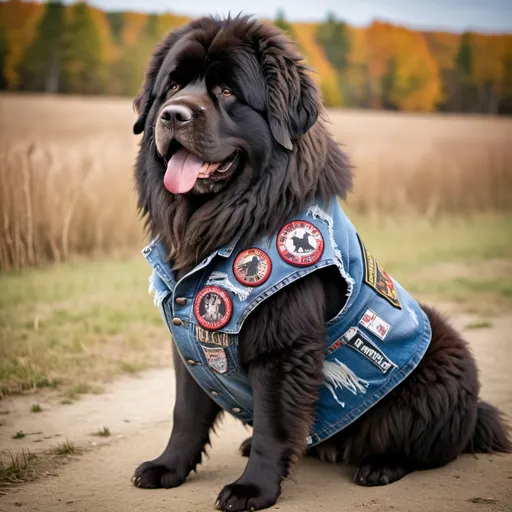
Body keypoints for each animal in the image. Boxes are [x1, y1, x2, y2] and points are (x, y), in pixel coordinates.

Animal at [131, 16, 508, 512]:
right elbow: (186, 412)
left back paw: (381, 465)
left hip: (442, 363)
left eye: (227, 91)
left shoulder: (281, 346)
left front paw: (253, 489)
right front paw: (168, 467)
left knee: (428, 446)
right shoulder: (186, 334)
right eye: (173, 86)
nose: (172, 115)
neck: (224, 224)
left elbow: (274, 424)